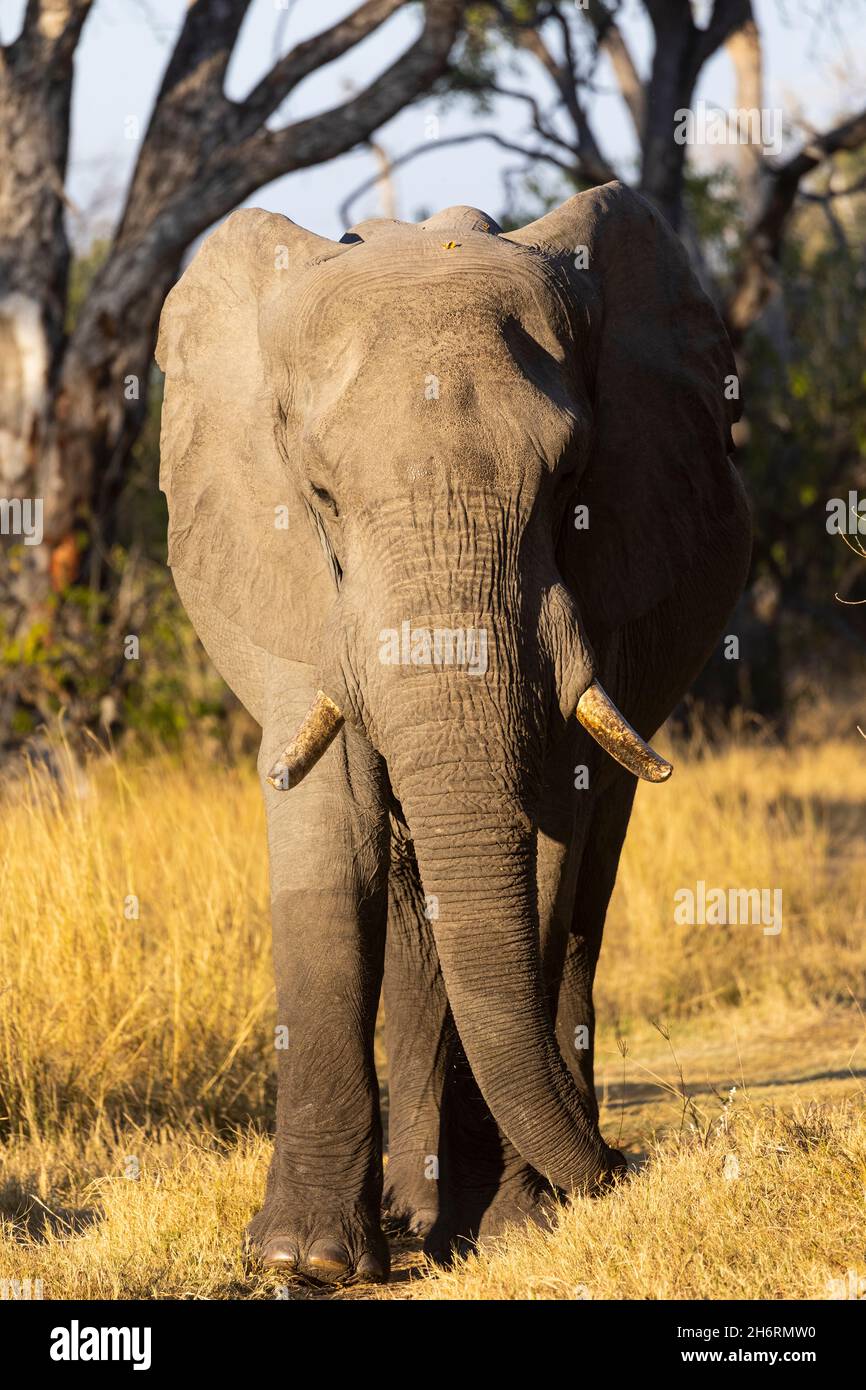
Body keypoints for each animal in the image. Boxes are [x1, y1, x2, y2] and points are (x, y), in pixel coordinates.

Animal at [155, 182, 750, 1278]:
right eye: (320, 496)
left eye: (569, 483)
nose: (627, 1167)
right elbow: (327, 830)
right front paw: (302, 1262)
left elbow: (545, 842)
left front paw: (515, 1228)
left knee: (577, 900)